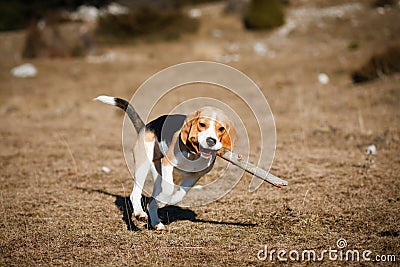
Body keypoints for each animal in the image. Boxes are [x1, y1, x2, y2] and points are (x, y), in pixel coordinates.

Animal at [95, 96, 236, 230]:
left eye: (221, 128)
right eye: (202, 124)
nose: (211, 141)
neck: (194, 154)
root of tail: (145, 127)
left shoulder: (194, 176)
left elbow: (179, 195)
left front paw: (165, 201)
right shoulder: (167, 163)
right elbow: (169, 188)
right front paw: (162, 202)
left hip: (157, 173)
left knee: (152, 200)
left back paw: (156, 222)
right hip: (143, 164)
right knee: (135, 194)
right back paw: (140, 213)